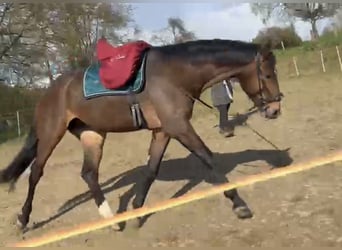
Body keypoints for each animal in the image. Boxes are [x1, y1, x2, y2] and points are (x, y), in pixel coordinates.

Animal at [0, 39, 284, 232]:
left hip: (93, 134)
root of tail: (50, 90)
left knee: (89, 174)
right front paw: (239, 204)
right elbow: (208, 158)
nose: (275, 110)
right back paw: (23, 219)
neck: (173, 74)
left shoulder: (163, 130)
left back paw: (112, 219)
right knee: (36, 173)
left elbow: (151, 170)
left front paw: (137, 210)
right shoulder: (179, 127)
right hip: (51, 134)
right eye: (268, 74)